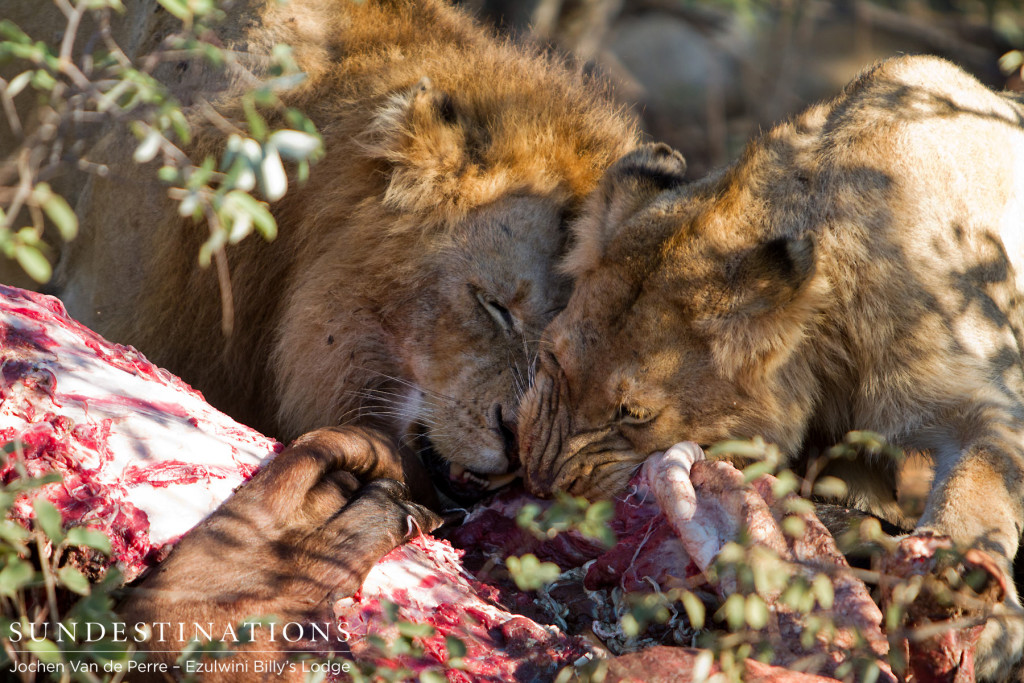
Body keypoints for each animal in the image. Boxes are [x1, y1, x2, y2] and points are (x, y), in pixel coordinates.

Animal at [520, 54, 1024, 679]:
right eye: (551, 360)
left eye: (633, 414)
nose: (539, 483)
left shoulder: (981, 400)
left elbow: (979, 486)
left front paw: (965, 603)